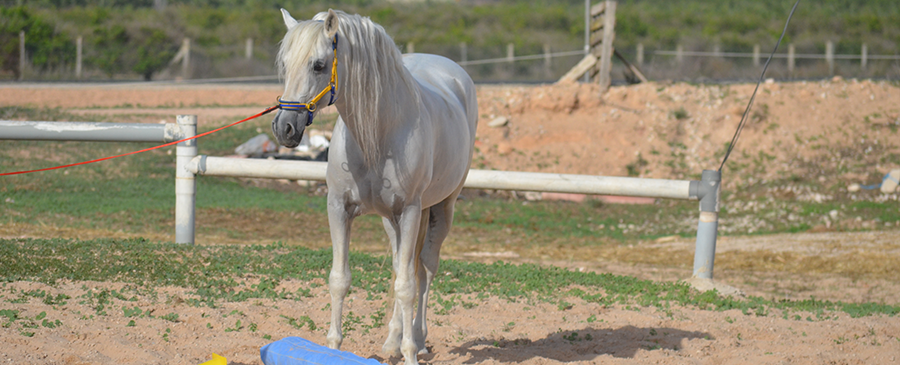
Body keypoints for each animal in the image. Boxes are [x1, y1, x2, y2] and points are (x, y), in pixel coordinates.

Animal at [270, 8, 478, 364]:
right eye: (285, 64)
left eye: (319, 65)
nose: (284, 128)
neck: (377, 135)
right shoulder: (339, 208)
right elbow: (340, 279)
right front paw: (333, 348)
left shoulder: (409, 212)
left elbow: (407, 286)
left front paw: (410, 354)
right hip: (390, 220)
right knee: (401, 266)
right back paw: (392, 341)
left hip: (440, 208)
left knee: (425, 268)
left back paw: (418, 339)